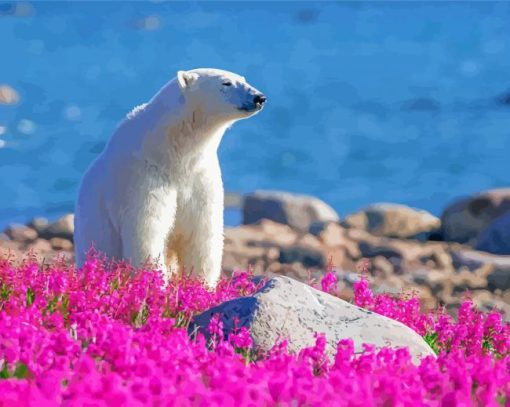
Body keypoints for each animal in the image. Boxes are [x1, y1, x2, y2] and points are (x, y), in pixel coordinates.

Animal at [76, 67, 266, 286]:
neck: (171, 152)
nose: (259, 97)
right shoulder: (143, 176)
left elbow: (202, 233)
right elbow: (147, 231)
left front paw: (202, 286)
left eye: (244, 79)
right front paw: (156, 284)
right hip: (95, 231)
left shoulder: (200, 176)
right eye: (226, 83)